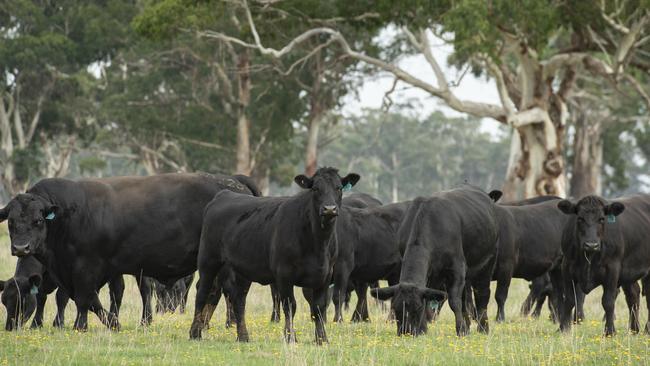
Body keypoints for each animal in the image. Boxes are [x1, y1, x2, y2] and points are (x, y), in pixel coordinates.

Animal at [0, 173, 258, 330]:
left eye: (38, 221)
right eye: (11, 222)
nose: (21, 248)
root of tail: (232, 182)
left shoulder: (85, 268)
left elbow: (84, 299)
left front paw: (80, 327)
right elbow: (94, 299)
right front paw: (113, 323)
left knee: (225, 291)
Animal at [190, 167, 360, 344]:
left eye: (339, 188)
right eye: (315, 189)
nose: (329, 209)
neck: (318, 243)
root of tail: (224, 195)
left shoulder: (325, 275)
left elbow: (319, 307)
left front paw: (321, 339)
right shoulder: (284, 274)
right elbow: (290, 306)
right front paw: (290, 336)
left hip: (241, 269)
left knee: (239, 300)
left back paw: (243, 336)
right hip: (208, 260)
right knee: (202, 293)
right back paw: (195, 333)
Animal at [370, 187, 496, 336]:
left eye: (417, 308)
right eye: (396, 308)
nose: (406, 332)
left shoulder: (457, 268)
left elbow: (454, 301)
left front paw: (460, 330)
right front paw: (423, 329)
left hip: (487, 264)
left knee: (482, 294)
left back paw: (483, 328)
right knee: (465, 297)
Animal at [556, 196, 648, 336]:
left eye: (602, 219)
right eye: (580, 218)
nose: (591, 244)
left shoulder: (612, 270)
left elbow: (608, 301)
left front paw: (609, 331)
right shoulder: (566, 267)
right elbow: (570, 300)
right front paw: (563, 329)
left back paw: (646, 329)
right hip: (629, 273)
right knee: (633, 295)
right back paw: (634, 329)